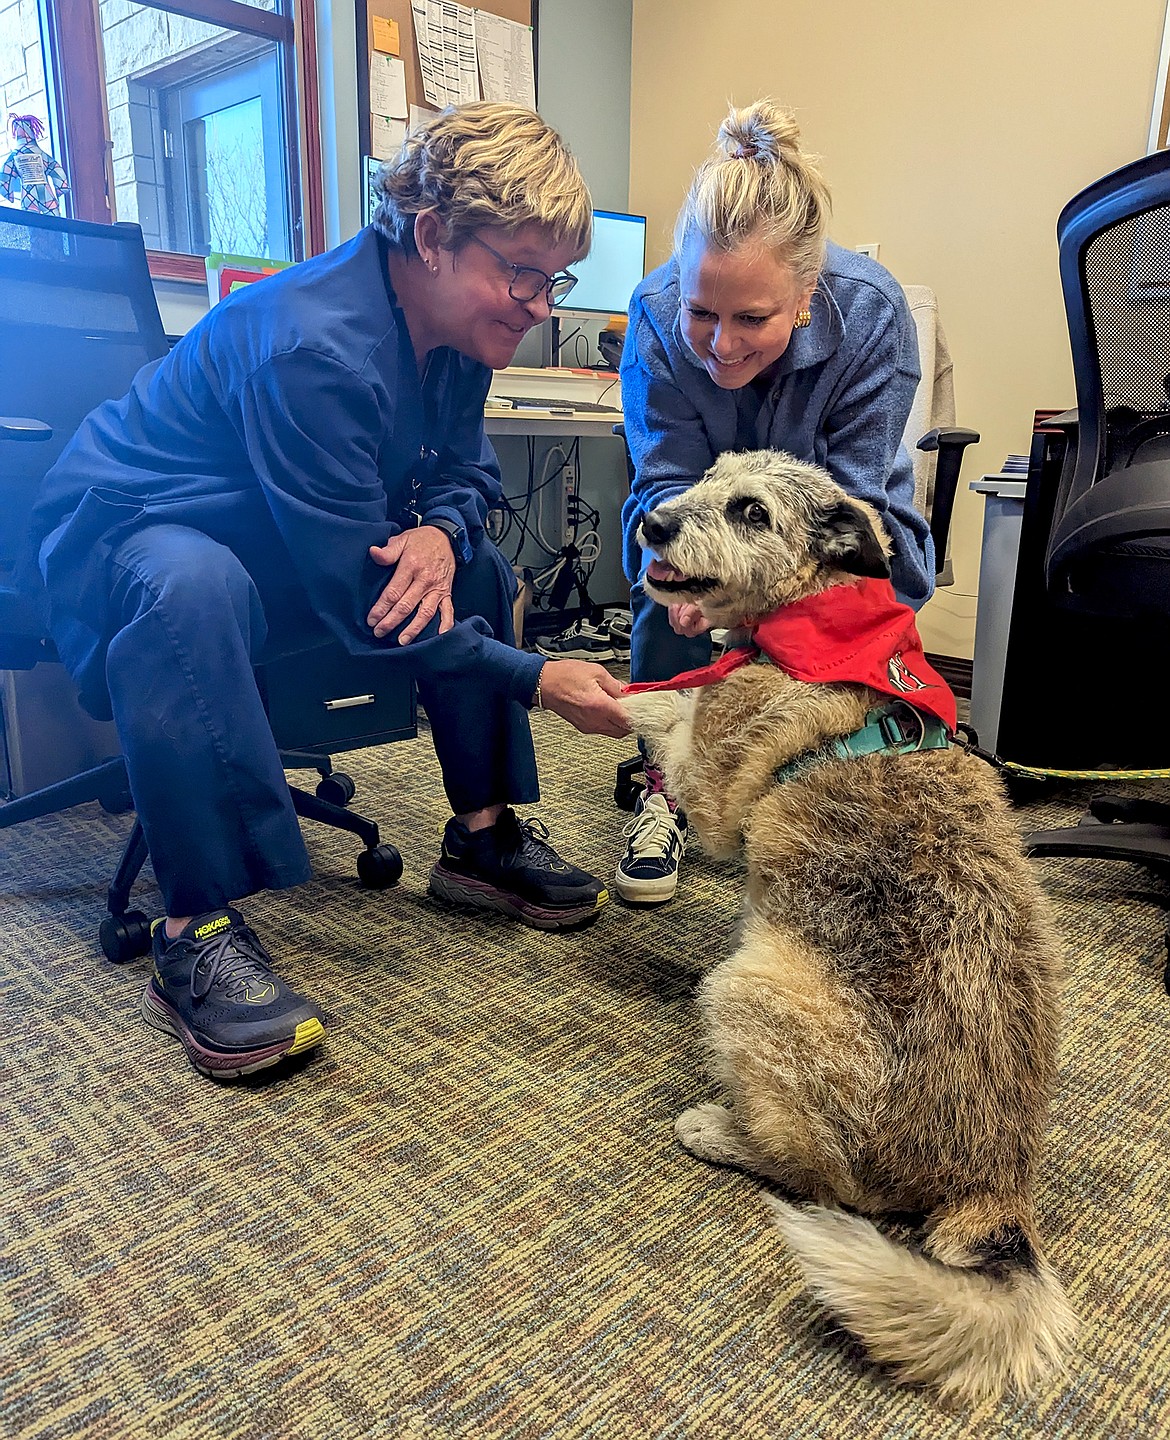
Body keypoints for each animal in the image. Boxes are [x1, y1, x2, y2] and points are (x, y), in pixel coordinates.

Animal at [622, 449, 1077, 1405]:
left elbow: (660, 707)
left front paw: (590, 685)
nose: (654, 523)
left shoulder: (711, 783)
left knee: (819, 1179)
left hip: (749, 985)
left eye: (751, 512)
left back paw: (720, 1131)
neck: (816, 611)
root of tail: (1000, 1183)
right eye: (709, 474)